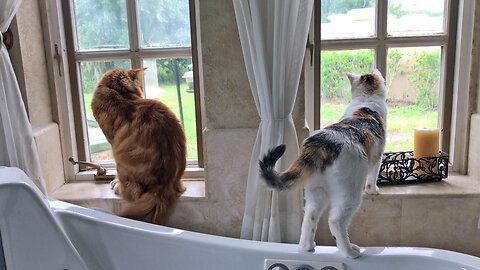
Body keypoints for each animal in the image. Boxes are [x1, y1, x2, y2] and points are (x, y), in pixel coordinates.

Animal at [91, 68, 187, 226]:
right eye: (141, 87)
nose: (142, 90)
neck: (119, 93)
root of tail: (164, 185)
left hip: (119, 159)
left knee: (131, 192)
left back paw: (117, 186)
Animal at [258, 68, 386, 258]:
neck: (366, 101)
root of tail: (322, 142)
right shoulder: (378, 155)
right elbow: (372, 178)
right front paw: (373, 190)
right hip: (350, 193)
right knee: (336, 221)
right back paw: (350, 251)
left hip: (315, 192)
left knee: (310, 218)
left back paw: (308, 247)